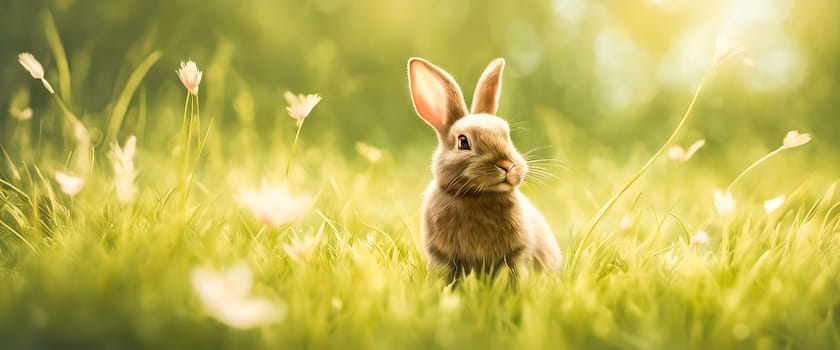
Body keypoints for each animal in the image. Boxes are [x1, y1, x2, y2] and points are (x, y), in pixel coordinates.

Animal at [406, 57, 564, 282]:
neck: (477, 196)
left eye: (507, 135)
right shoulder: (441, 256)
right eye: (463, 142)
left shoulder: (517, 255)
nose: (507, 164)